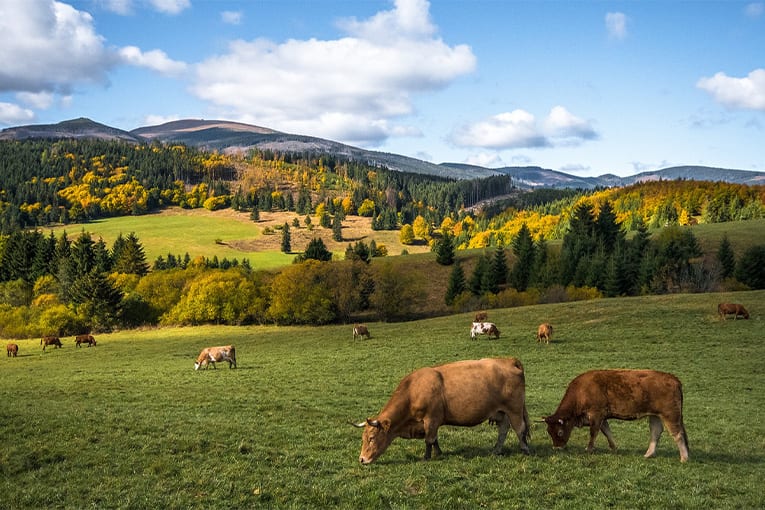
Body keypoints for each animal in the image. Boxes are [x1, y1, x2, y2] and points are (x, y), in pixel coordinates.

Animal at [354, 356, 532, 464]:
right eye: (363, 438)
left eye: (371, 438)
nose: (362, 459)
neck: (413, 390)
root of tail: (508, 360)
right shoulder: (431, 422)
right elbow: (434, 439)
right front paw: (438, 453)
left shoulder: (431, 419)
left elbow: (429, 440)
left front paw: (426, 457)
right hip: (502, 412)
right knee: (503, 431)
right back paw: (496, 450)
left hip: (514, 410)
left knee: (520, 429)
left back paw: (525, 450)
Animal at [540, 370, 688, 462]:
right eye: (549, 431)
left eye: (559, 432)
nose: (557, 448)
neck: (581, 392)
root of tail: (673, 378)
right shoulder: (602, 418)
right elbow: (607, 432)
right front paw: (614, 447)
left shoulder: (596, 414)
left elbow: (593, 432)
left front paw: (589, 449)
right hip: (655, 415)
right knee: (656, 432)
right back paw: (648, 454)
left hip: (670, 414)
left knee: (677, 434)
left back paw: (684, 458)